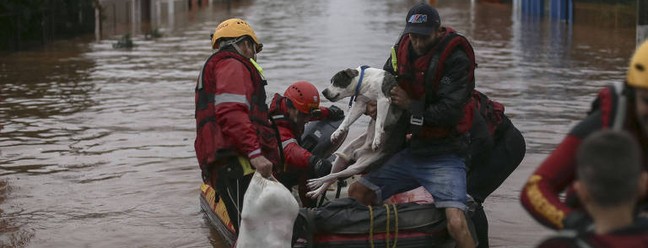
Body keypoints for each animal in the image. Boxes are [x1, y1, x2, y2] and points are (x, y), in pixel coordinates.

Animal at [306, 66, 404, 200]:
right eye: (331, 81)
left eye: (337, 81)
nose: (324, 92)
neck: (366, 82)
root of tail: (358, 153)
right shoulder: (361, 105)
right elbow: (347, 120)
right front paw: (337, 132)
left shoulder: (383, 101)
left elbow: (378, 122)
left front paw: (376, 140)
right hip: (342, 159)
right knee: (332, 177)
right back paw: (316, 190)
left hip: (357, 167)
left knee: (333, 176)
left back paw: (316, 182)